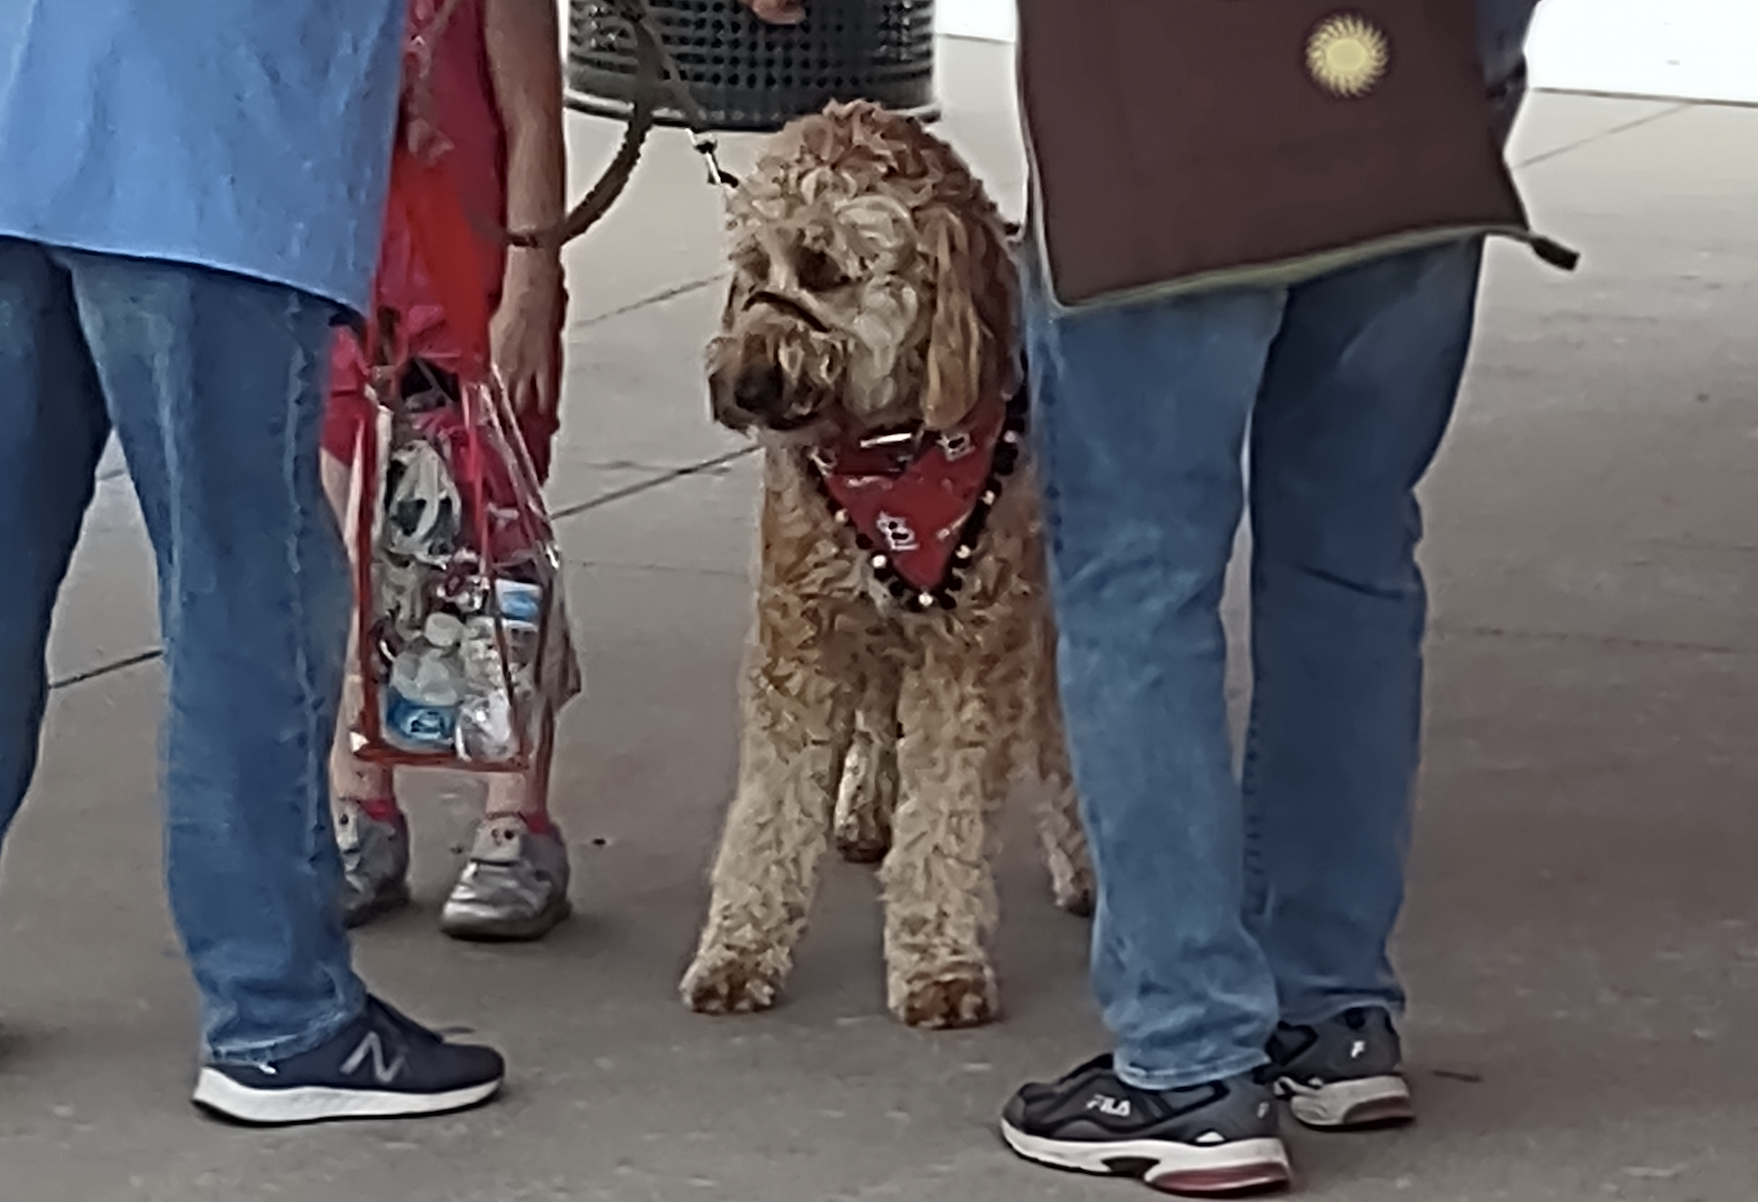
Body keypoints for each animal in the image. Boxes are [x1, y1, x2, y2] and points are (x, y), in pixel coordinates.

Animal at [678, 101, 1089, 1033]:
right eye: (751, 267)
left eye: (824, 269)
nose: (743, 386)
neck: (889, 452)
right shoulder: (801, 631)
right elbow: (769, 809)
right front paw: (739, 949)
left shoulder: (972, 645)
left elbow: (945, 816)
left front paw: (939, 963)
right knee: (876, 710)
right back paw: (866, 803)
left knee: (1060, 726)